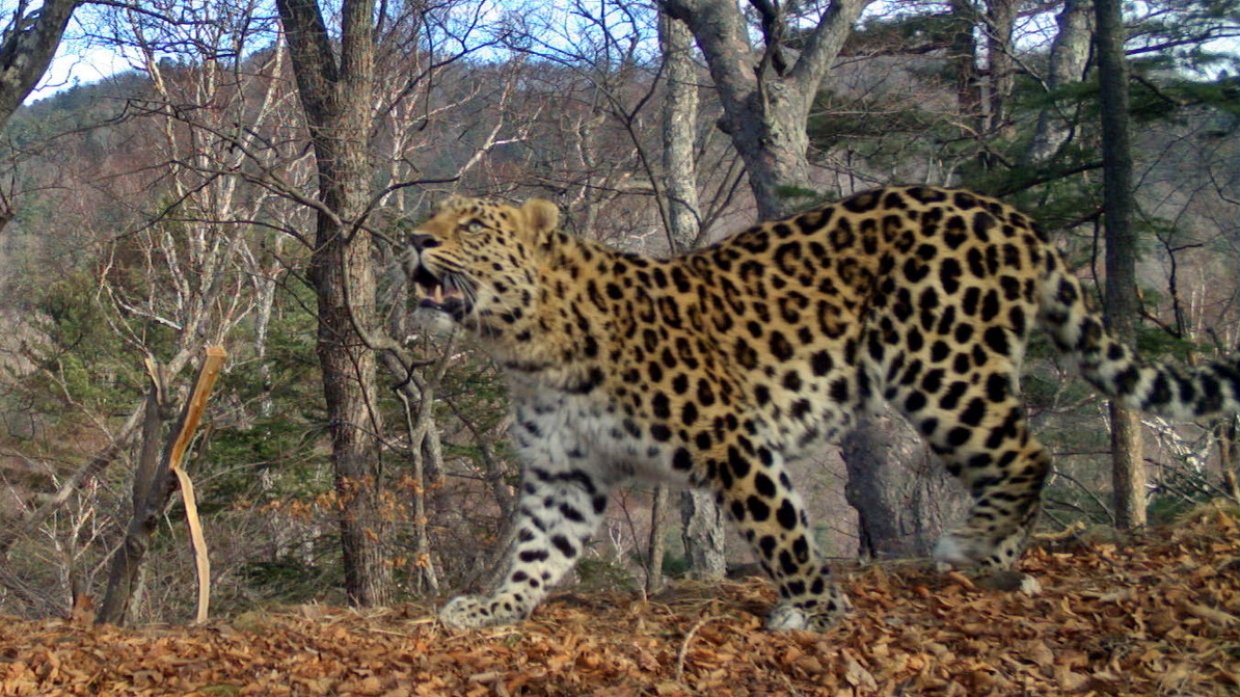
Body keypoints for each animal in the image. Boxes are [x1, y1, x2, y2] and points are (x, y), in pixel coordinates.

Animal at [404, 184, 1240, 630]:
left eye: (471, 224)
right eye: (438, 216)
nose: (411, 238)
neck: (526, 347)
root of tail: (1004, 212)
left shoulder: (732, 439)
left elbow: (784, 531)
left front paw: (817, 612)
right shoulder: (564, 472)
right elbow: (537, 549)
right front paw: (493, 608)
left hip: (940, 365)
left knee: (1028, 454)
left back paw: (971, 544)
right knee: (1010, 460)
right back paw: (997, 560)